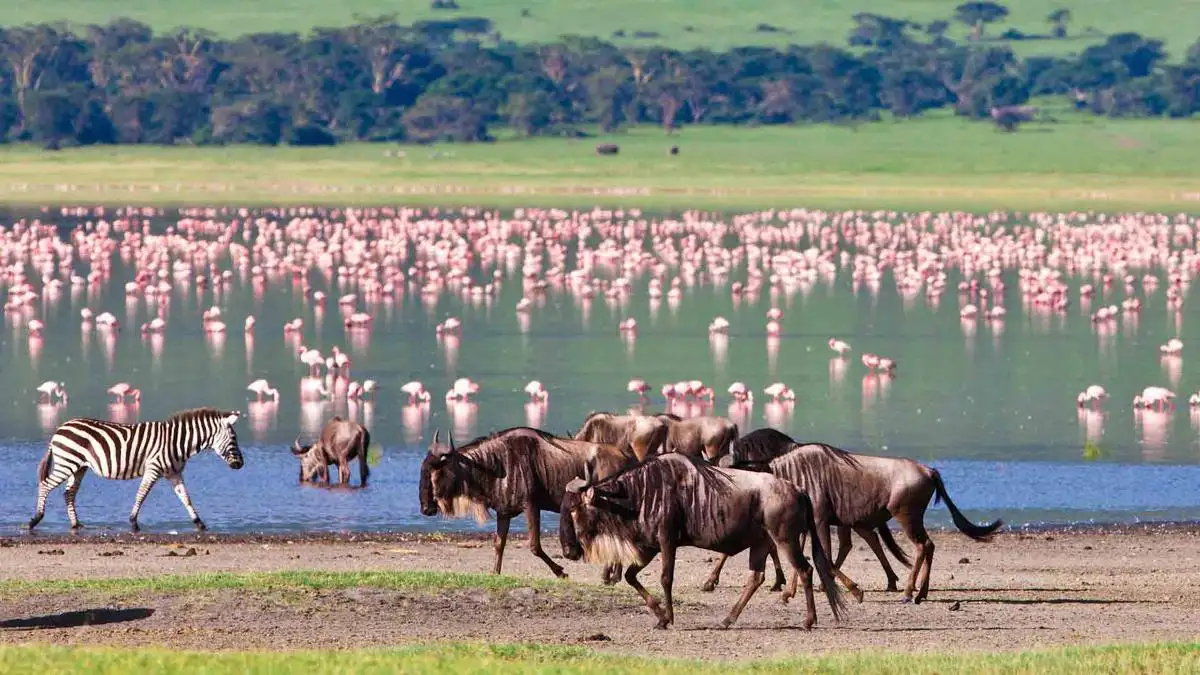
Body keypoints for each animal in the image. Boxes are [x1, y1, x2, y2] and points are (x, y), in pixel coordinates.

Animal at [27, 407, 245, 533]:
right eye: (234, 439)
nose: (241, 465)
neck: (177, 442)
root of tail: (60, 428)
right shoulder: (153, 468)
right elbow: (141, 494)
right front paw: (133, 523)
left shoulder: (174, 473)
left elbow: (186, 498)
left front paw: (199, 523)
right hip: (67, 463)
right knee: (45, 485)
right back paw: (35, 520)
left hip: (79, 467)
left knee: (69, 494)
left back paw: (76, 525)